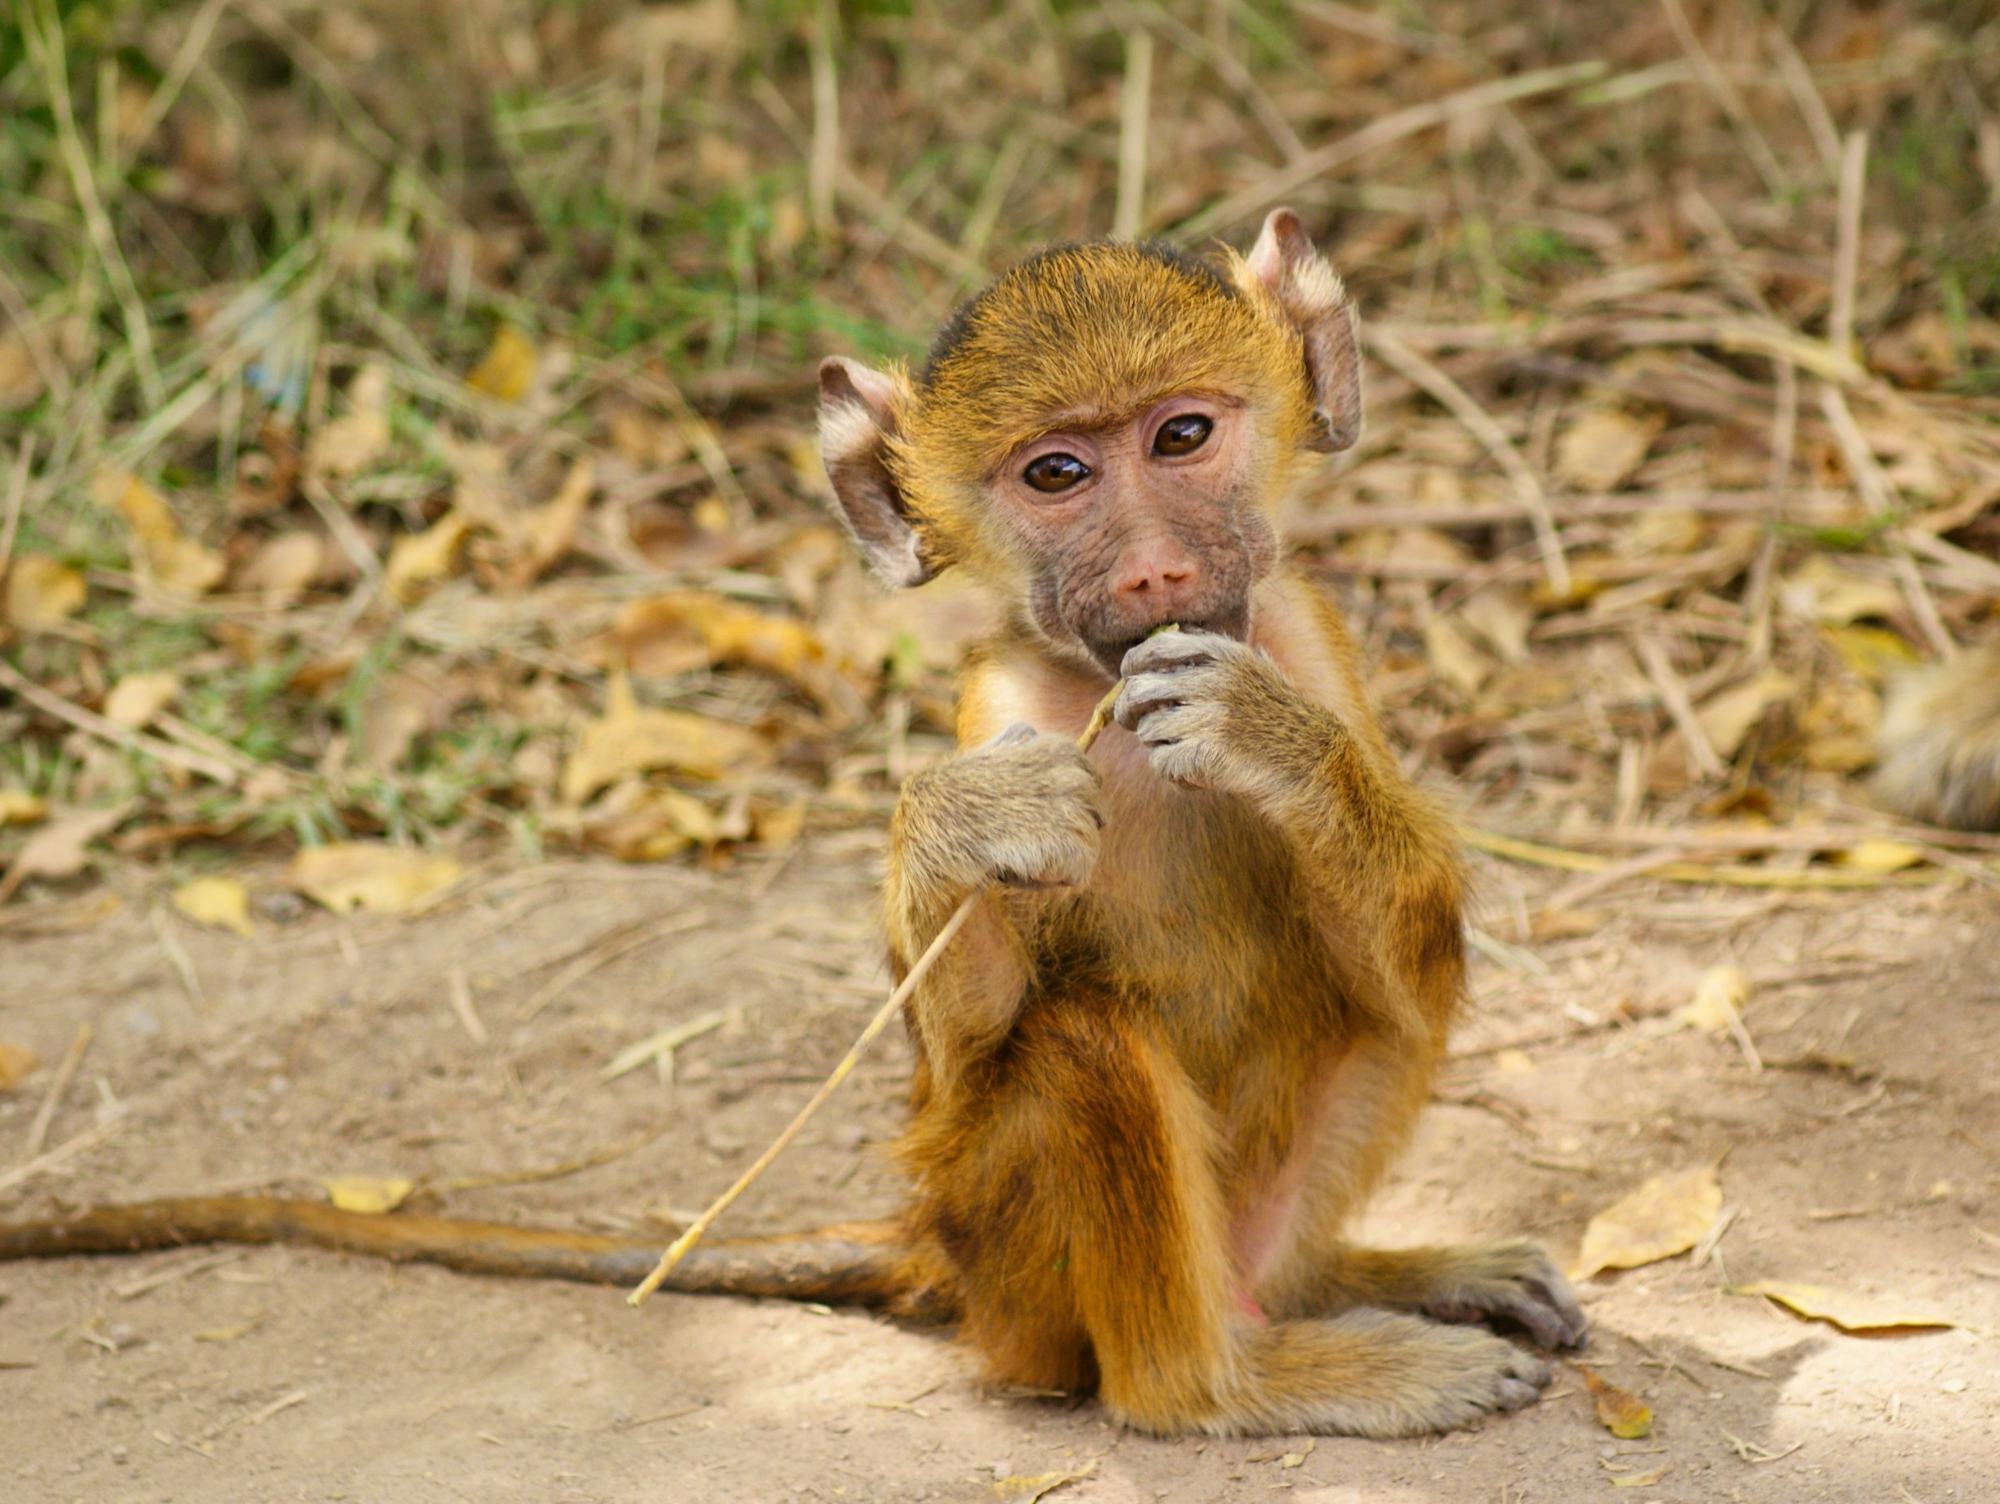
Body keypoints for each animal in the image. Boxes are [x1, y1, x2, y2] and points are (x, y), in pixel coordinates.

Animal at [0, 210, 1583, 1439]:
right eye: (1056, 474)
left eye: (1180, 435)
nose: (1148, 575)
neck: (1094, 688)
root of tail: (931, 1252)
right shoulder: (1002, 702)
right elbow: (971, 1040)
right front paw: (958, 827)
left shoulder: (1302, 631)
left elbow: (1414, 959)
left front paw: (1259, 742)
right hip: (1011, 1273)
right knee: (1078, 1048)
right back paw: (1217, 1384)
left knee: (1372, 1024)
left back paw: (1344, 1282)